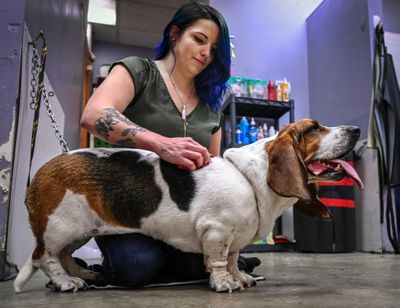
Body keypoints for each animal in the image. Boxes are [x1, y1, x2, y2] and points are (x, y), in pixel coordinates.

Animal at [13, 118, 362, 294]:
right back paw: (66, 282)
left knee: (62, 256)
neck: (253, 178)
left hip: (80, 231)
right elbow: (220, 261)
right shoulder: (217, 231)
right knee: (45, 258)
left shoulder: (234, 238)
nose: (356, 129)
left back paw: (85, 275)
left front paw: (241, 277)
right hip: (59, 228)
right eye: (315, 129)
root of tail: (41, 171)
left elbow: (234, 258)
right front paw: (225, 284)